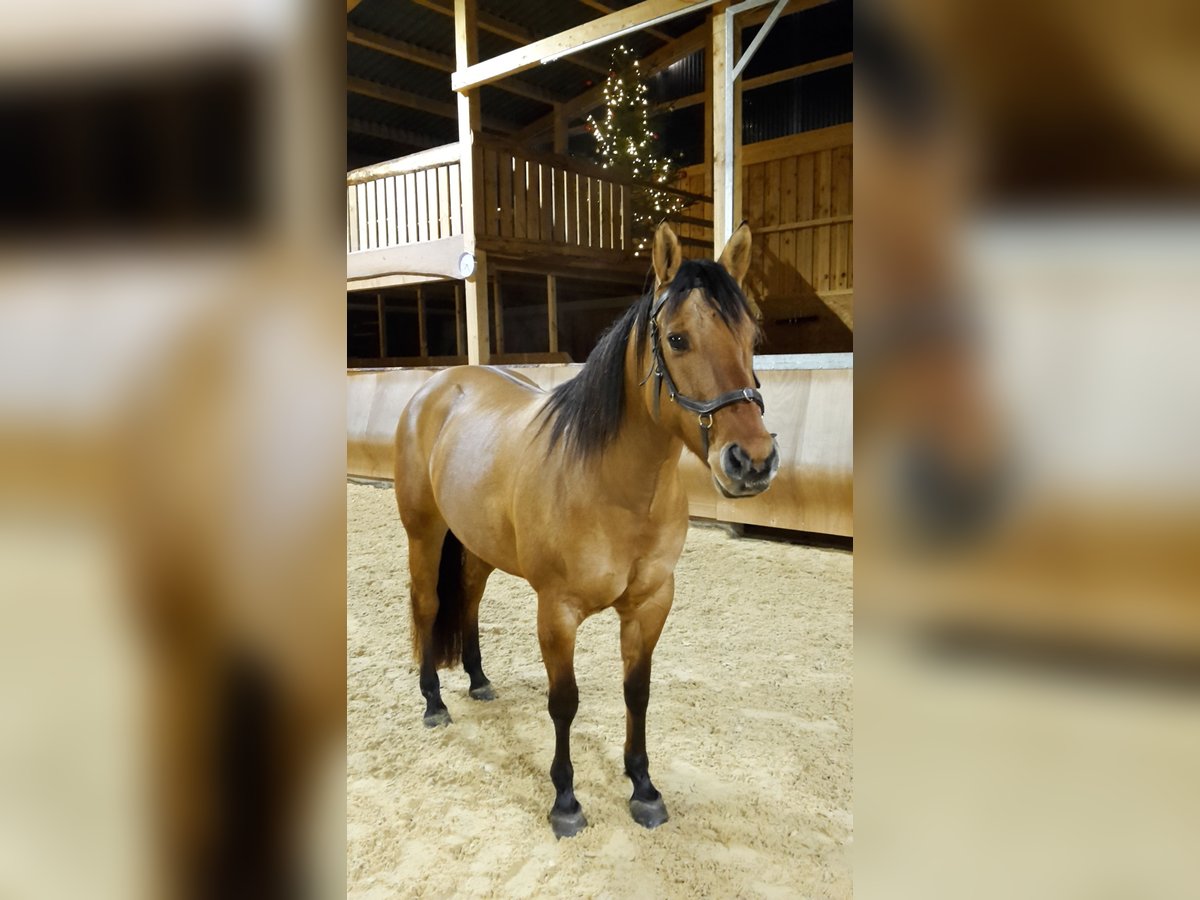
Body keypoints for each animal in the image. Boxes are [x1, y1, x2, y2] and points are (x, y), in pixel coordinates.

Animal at [396, 222, 777, 844]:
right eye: (677, 339)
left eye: (751, 335)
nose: (754, 462)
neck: (613, 486)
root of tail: (441, 386)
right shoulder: (558, 611)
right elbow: (564, 703)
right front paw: (566, 801)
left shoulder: (650, 604)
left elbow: (637, 691)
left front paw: (644, 788)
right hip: (424, 534)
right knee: (428, 604)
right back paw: (433, 702)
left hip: (477, 544)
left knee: (469, 596)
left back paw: (478, 679)